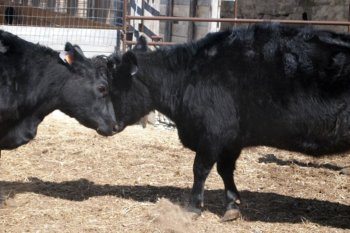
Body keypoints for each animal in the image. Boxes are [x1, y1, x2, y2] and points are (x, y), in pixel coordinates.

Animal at [106, 24, 350, 221]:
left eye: (114, 89)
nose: (108, 126)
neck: (188, 77)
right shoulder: (231, 139)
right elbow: (225, 170)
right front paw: (232, 206)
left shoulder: (213, 133)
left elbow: (200, 169)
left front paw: (193, 207)